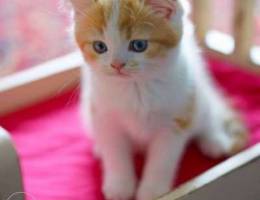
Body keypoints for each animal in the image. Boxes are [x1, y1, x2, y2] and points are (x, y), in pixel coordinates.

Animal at [68, 0, 247, 199]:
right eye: (99, 46)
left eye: (139, 45)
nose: (117, 65)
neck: (136, 88)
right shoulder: (103, 115)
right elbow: (115, 152)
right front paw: (119, 185)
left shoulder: (176, 118)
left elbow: (162, 159)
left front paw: (152, 191)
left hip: (198, 90)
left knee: (208, 114)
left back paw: (214, 140)